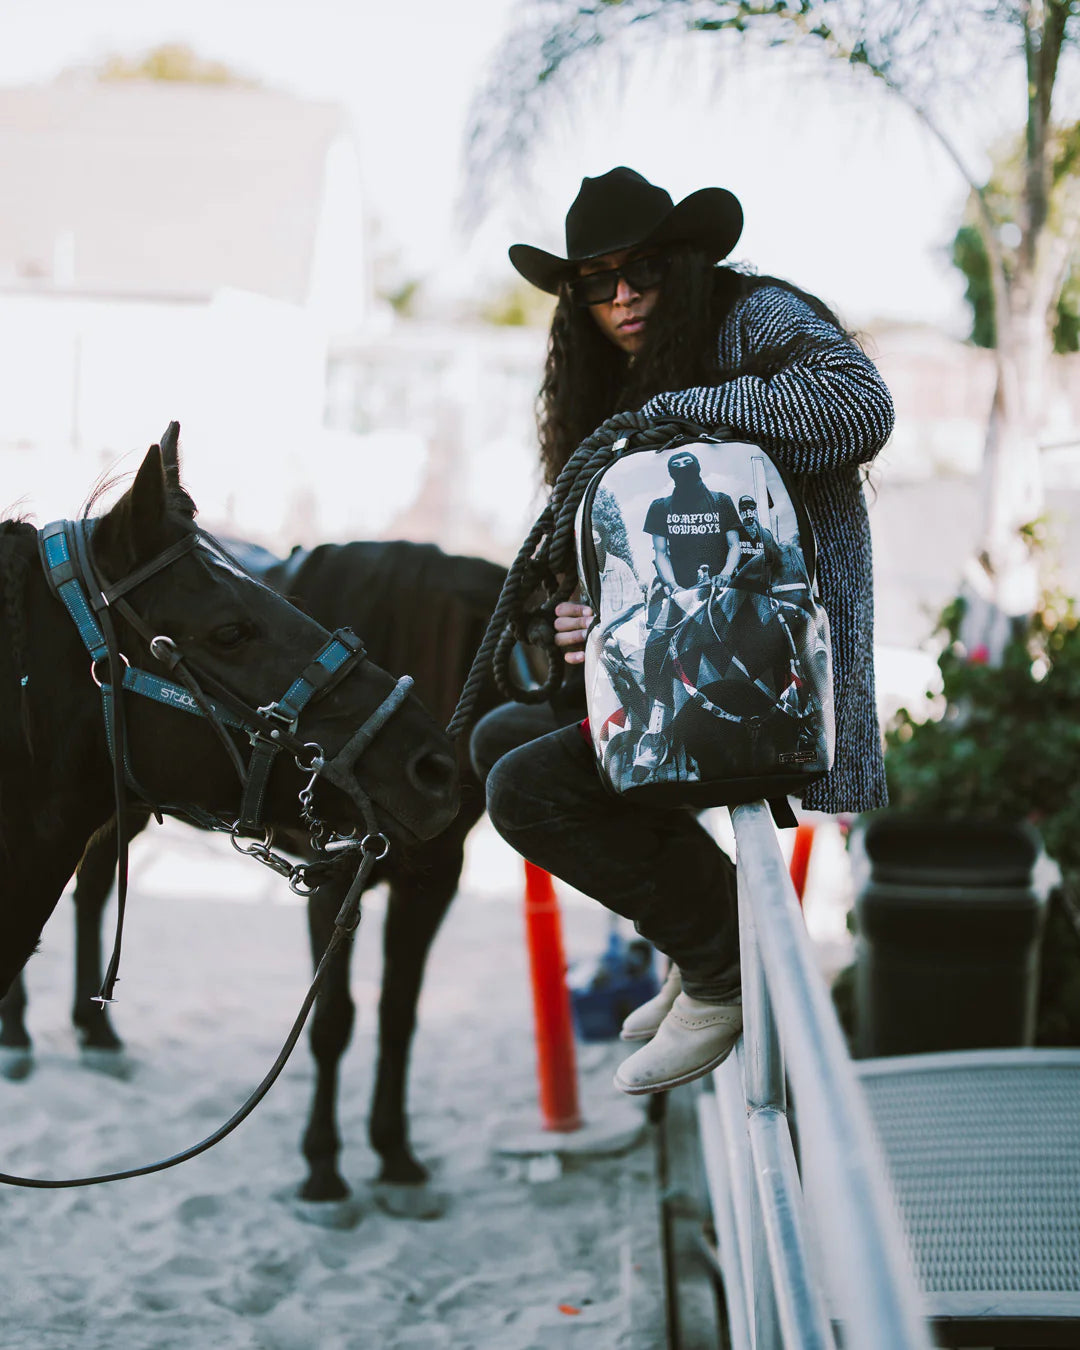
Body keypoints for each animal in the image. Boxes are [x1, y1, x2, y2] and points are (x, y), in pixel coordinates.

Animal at [0, 531, 507, 1220]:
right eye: (230, 633)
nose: (436, 770)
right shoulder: (334, 880)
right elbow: (334, 1019)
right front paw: (324, 1169)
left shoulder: (432, 881)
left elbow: (398, 1014)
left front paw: (396, 1157)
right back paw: (18, 1034)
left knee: (94, 891)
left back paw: (96, 1031)